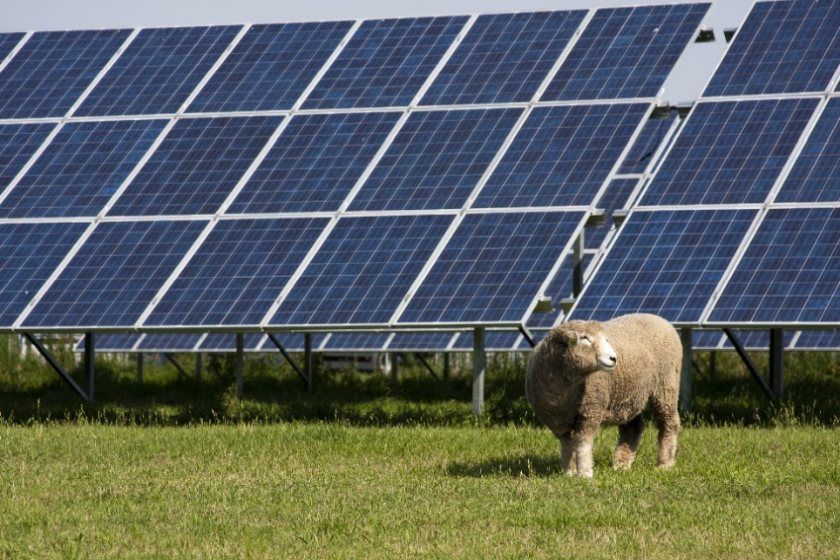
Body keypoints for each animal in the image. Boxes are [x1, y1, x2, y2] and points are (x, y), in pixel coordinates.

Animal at [524, 312, 684, 480]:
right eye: (584, 338)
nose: (614, 358)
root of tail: (660, 318)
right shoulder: (557, 423)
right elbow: (567, 446)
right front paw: (569, 472)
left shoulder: (590, 411)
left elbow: (583, 443)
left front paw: (584, 474)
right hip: (630, 395)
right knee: (633, 428)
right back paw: (621, 464)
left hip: (666, 386)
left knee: (669, 423)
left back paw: (665, 464)